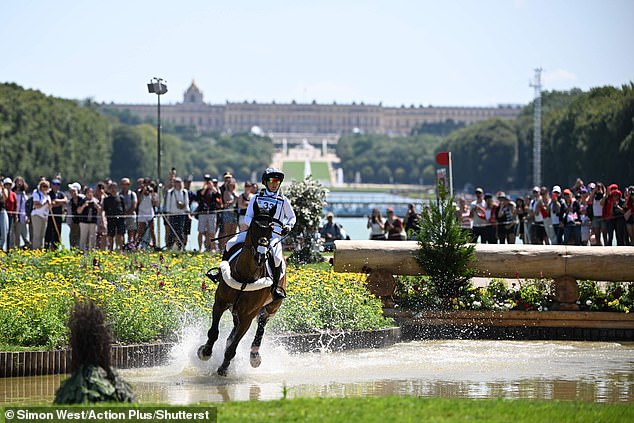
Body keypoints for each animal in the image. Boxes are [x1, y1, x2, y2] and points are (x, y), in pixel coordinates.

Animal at [196, 203, 286, 378]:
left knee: (261, 326)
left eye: (271, 227)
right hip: (235, 309)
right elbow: (214, 332)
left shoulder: (248, 317)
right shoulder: (220, 303)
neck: (246, 275)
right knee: (234, 329)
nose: (260, 256)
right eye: (254, 226)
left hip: (271, 308)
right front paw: (205, 351)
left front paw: (224, 367)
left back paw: (254, 356)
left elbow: (233, 347)